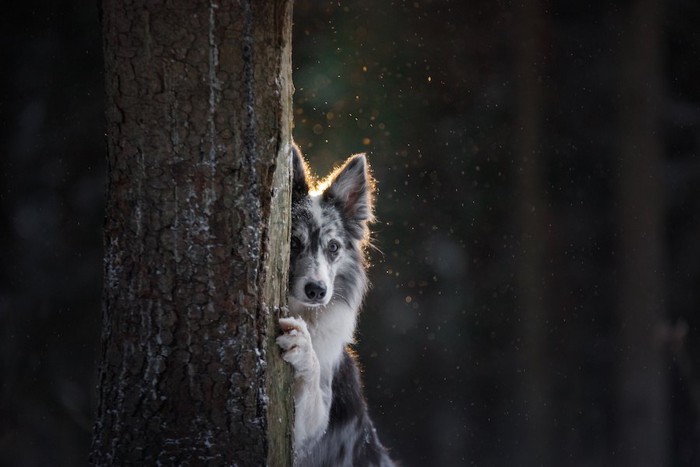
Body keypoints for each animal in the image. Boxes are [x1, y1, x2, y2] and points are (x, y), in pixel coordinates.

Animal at [278, 146, 396, 467]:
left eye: (333, 247)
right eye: (294, 242)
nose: (317, 290)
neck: (305, 313)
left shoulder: (308, 433)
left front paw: (303, 348)